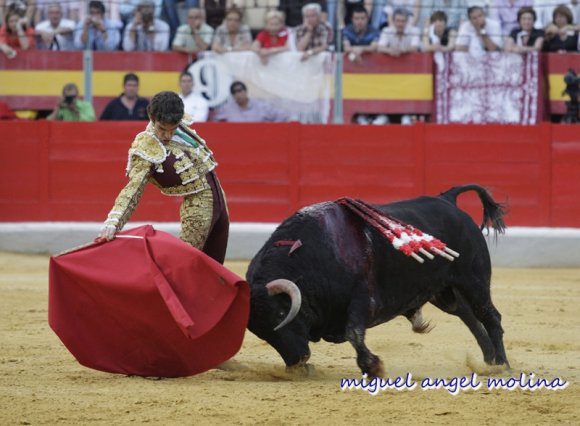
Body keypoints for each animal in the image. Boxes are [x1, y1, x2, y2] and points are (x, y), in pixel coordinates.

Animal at [247, 184, 510, 376]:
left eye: (282, 314)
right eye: (261, 333)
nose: (297, 360)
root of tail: (447, 199)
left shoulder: (365, 299)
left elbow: (353, 332)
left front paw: (373, 367)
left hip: (473, 280)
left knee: (490, 316)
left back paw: (502, 365)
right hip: (443, 291)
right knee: (467, 314)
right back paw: (489, 360)